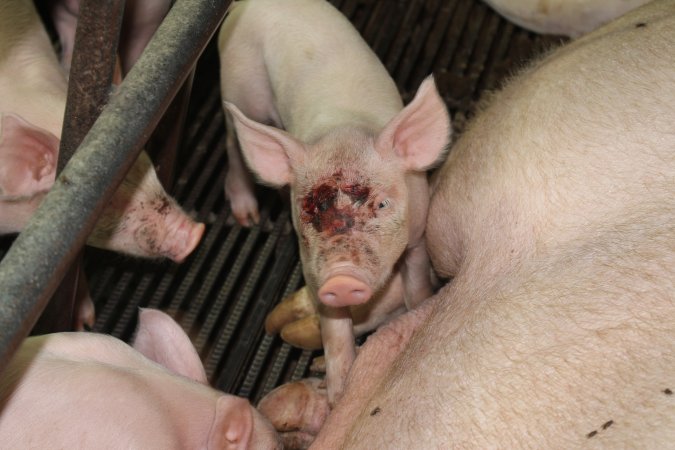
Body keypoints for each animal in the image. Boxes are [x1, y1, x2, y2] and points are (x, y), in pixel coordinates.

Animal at [219, 0, 450, 404]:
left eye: (382, 205)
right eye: (307, 210)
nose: (341, 278)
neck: (345, 128)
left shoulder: (418, 234)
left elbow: (417, 284)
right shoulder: (311, 265)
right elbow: (332, 326)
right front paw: (338, 395)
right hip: (238, 82)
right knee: (233, 142)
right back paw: (247, 217)